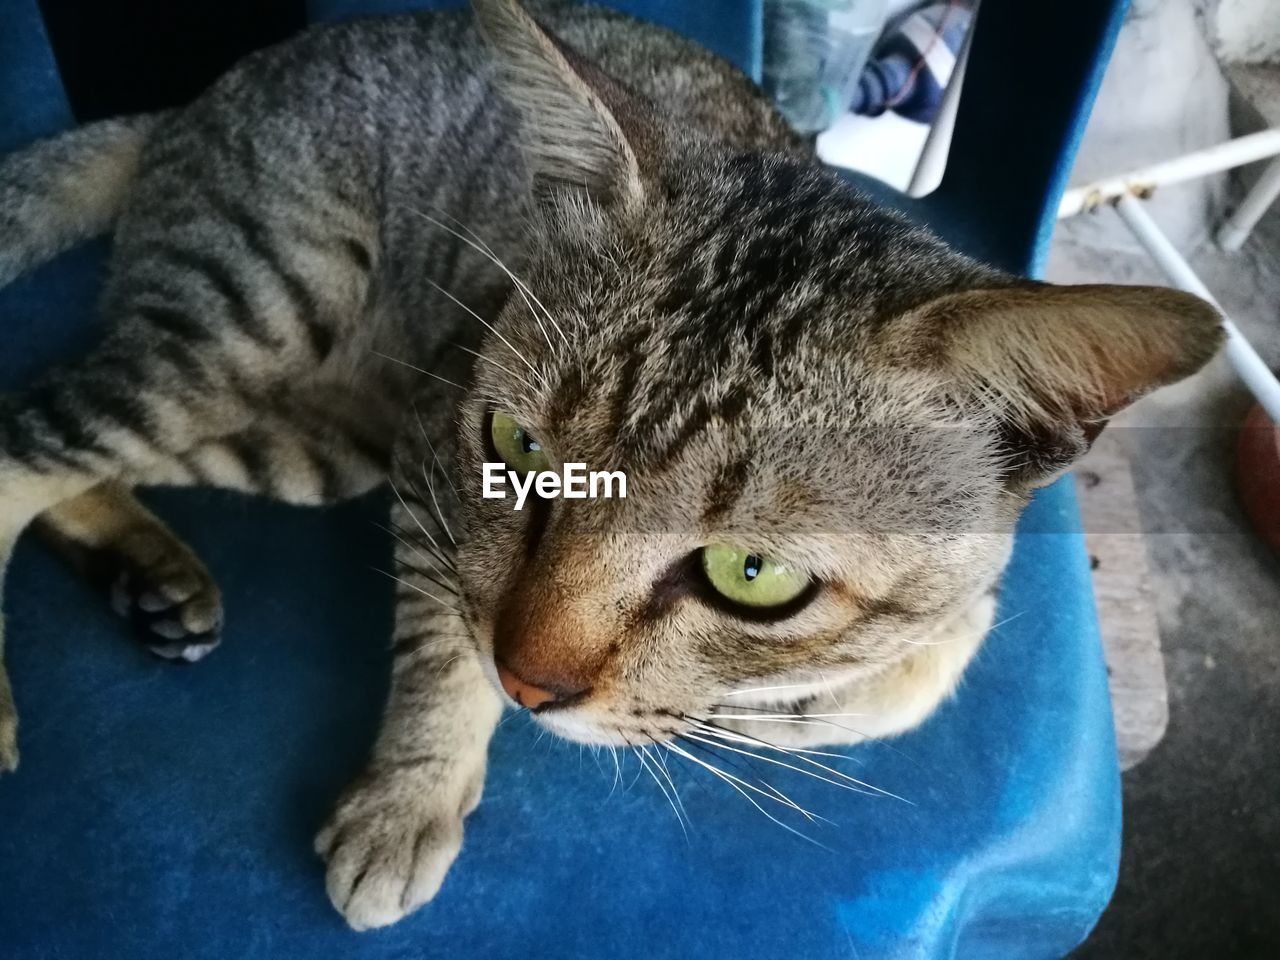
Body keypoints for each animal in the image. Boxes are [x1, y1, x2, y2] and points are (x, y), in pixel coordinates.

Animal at [0, 0, 1218, 931]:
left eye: (752, 576)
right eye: (518, 449)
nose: (530, 682)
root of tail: (197, 100)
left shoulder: (955, 613)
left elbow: (910, 676)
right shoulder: (434, 470)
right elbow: (440, 652)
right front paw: (409, 799)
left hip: (315, 439)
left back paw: (152, 576)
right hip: (247, 323)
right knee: (24, 440)